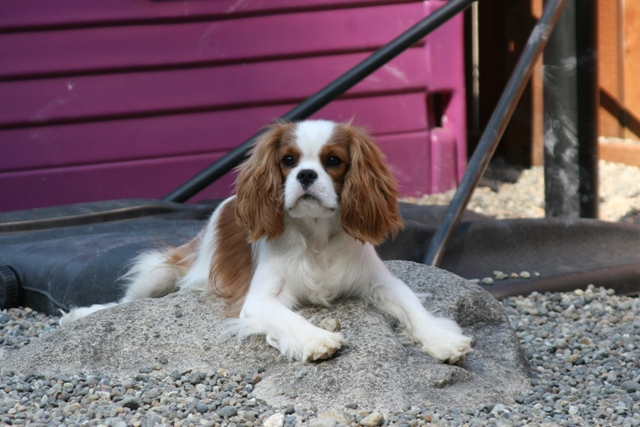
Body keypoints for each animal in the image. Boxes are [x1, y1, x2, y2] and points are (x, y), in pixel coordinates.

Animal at [61, 119, 470, 364]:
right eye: (288, 160)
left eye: (333, 161)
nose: (306, 175)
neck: (316, 235)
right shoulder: (259, 301)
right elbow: (286, 317)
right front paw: (317, 340)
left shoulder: (381, 282)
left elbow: (412, 306)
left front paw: (441, 339)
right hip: (160, 274)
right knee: (125, 302)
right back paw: (85, 313)